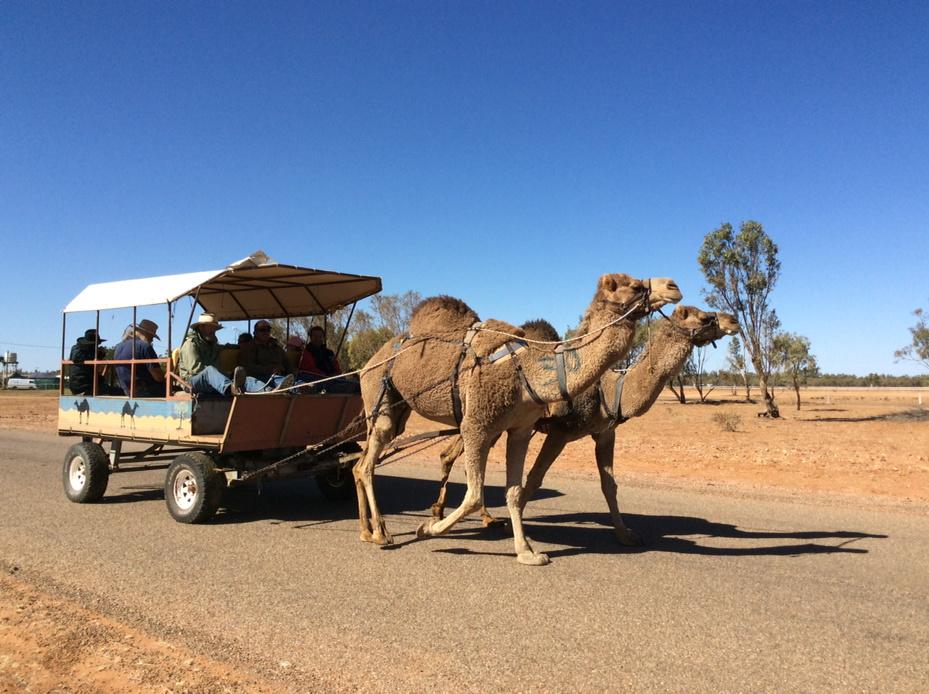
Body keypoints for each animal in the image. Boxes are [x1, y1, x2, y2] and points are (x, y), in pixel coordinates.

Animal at [353, 273, 682, 565]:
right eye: (634, 285)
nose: (673, 285)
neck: (529, 372)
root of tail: (368, 363)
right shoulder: (478, 425)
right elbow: (474, 494)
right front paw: (426, 529)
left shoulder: (520, 429)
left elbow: (513, 490)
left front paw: (527, 552)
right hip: (379, 397)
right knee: (368, 464)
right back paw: (382, 533)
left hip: (401, 411)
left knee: (361, 464)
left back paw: (367, 531)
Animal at [431, 306, 740, 545]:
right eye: (704, 317)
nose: (733, 320)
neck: (612, 391)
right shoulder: (560, 433)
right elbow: (534, 479)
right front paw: (513, 527)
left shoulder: (605, 434)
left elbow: (610, 485)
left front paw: (626, 535)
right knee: (457, 454)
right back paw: (450, 514)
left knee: (453, 455)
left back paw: (462, 514)